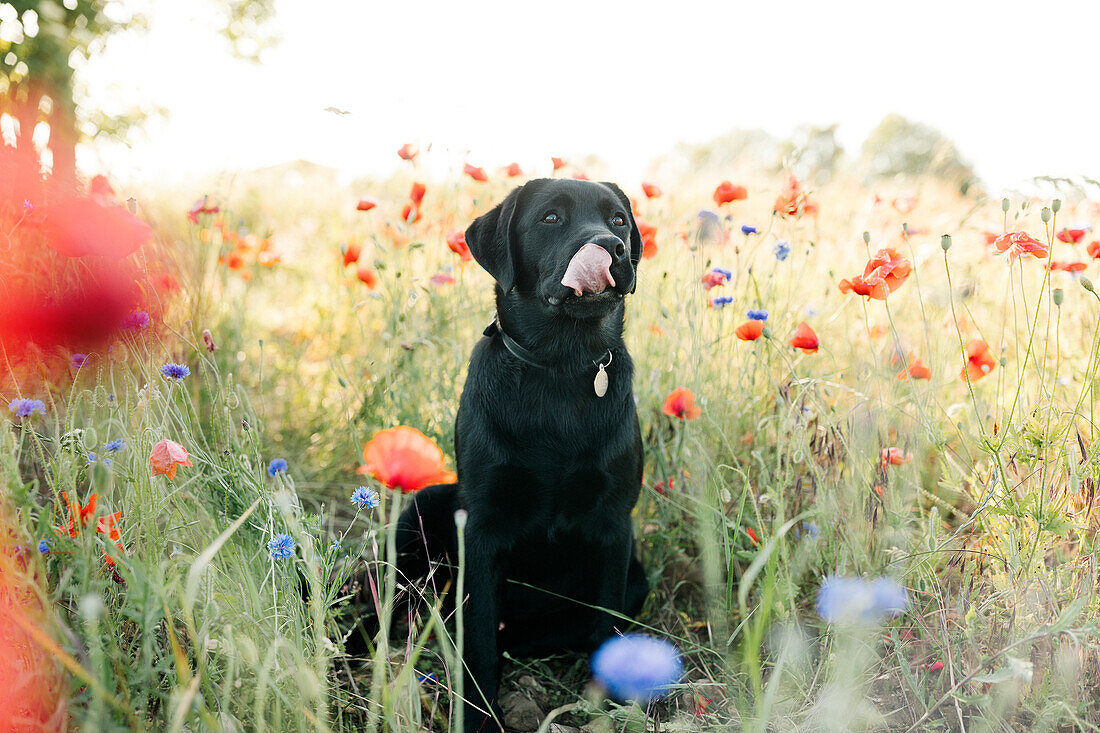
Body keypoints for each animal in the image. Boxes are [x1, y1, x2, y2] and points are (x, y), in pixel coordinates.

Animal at [396, 178, 646, 730]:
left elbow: (606, 626)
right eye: (550, 218)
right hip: (422, 508)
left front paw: (609, 706)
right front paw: (478, 715)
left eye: (618, 220)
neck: (560, 366)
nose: (611, 248)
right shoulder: (483, 528)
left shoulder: (615, 525)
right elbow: (481, 641)